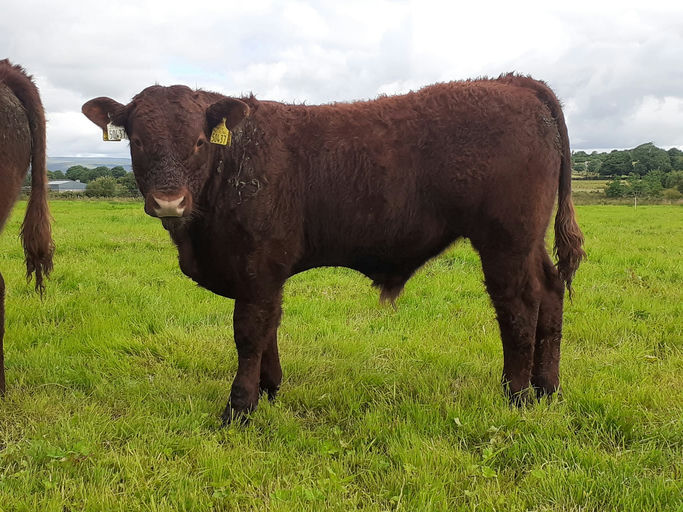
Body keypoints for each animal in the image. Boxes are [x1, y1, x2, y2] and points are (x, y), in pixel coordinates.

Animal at [83, 73, 585, 424]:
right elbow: (270, 328)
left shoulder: (258, 266)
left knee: (518, 306)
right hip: (527, 243)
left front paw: (239, 409)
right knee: (551, 292)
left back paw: (516, 395)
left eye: (199, 141)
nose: (169, 200)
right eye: (137, 140)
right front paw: (270, 390)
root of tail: (513, 82)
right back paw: (547, 389)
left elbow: (249, 333)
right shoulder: (265, 274)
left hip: (506, 241)